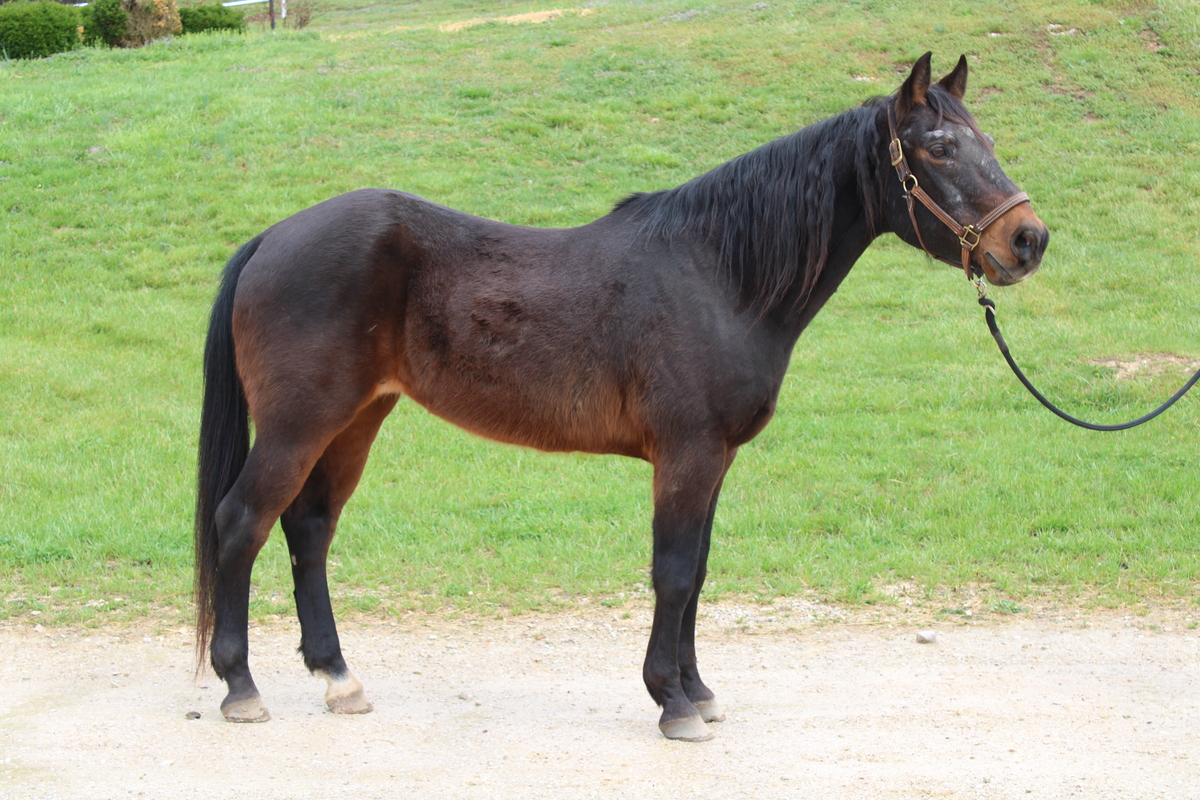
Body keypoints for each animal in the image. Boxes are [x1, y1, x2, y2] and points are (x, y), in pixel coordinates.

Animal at [194, 52, 1048, 741]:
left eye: (988, 141)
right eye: (938, 148)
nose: (1028, 240)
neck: (718, 275)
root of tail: (271, 238)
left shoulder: (714, 460)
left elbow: (697, 573)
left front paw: (698, 691)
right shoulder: (687, 454)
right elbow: (671, 572)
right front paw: (671, 703)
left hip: (355, 420)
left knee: (308, 529)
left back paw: (338, 678)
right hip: (299, 426)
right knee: (241, 523)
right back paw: (240, 688)